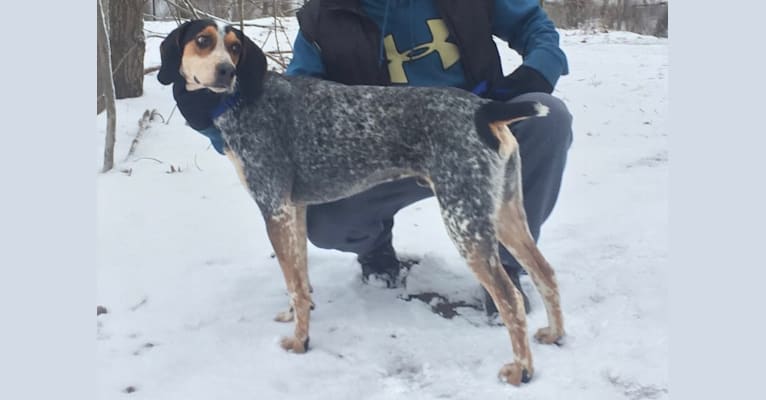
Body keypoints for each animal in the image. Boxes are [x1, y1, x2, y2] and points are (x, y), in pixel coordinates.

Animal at [158, 20, 564, 386]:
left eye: (235, 48)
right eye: (203, 41)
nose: (225, 71)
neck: (243, 98)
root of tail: (484, 110)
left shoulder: (274, 207)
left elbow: (294, 283)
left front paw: (300, 342)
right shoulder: (294, 210)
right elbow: (299, 279)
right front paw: (295, 316)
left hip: (465, 220)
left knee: (510, 299)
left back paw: (522, 370)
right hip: (505, 213)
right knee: (545, 272)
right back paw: (555, 334)